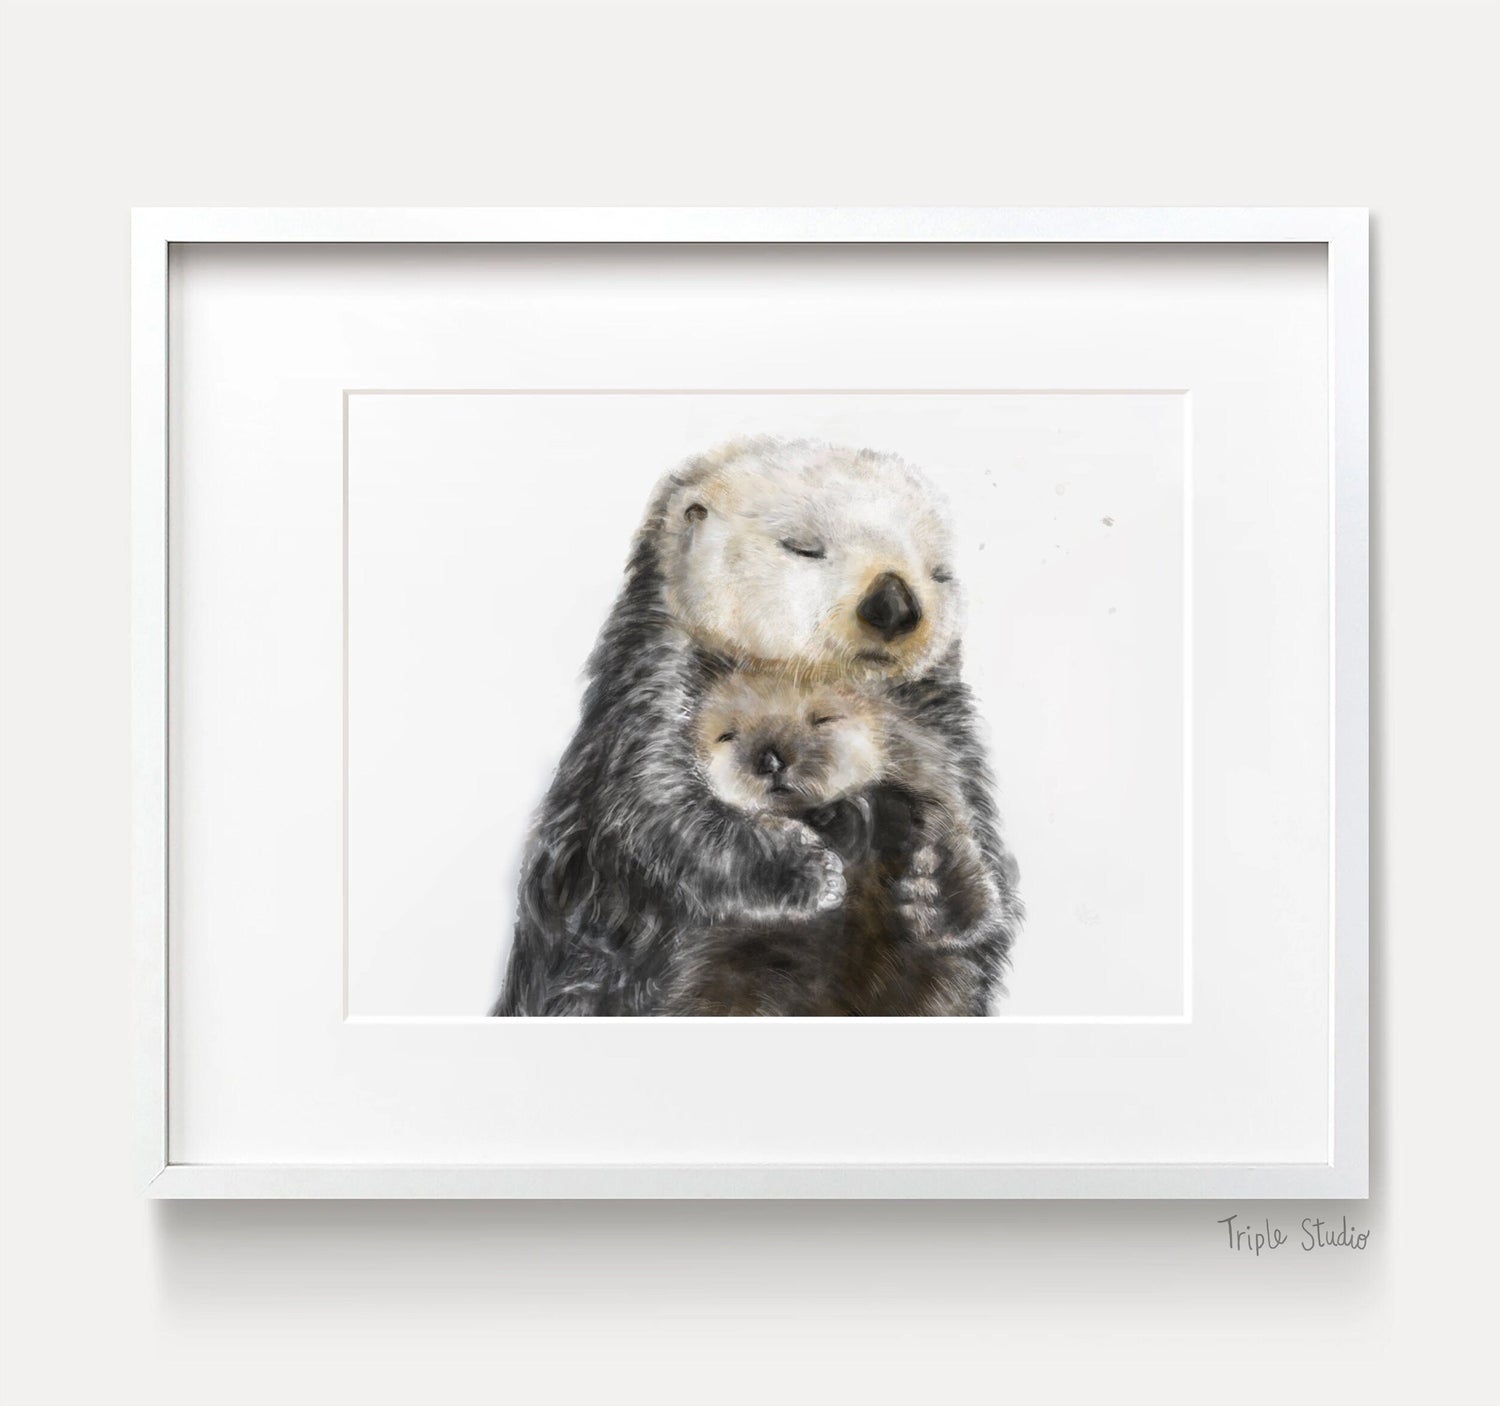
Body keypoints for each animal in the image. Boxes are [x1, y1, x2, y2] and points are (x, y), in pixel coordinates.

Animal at [492, 436, 1020, 1016]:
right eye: (802, 547)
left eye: (937, 571)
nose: (894, 604)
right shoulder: (650, 689)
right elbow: (658, 813)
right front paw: (806, 869)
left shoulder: (941, 724)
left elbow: (970, 817)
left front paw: (939, 888)